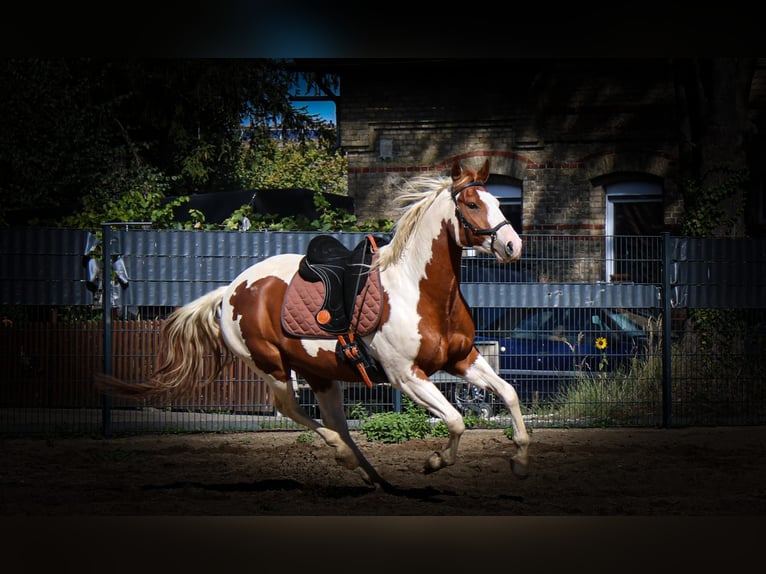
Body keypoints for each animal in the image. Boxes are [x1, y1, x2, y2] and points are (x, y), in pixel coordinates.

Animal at [96, 161, 532, 490]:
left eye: (498, 201)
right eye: (472, 203)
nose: (514, 246)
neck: (418, 289)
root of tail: (231, 289)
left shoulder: (463, 359)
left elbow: (508, 393)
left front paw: (520, 460)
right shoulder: (407, 376)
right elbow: (457, 420)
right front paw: (434, 461)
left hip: (320, 372)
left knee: (336, 420)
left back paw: (372, 476)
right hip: (271, 366)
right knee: (291, 408)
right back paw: (343, 455)